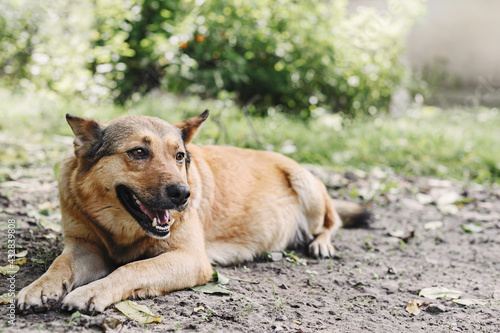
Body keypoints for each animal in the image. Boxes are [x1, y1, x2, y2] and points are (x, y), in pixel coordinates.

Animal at [16, 111, 368, 312]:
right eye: (138, 152)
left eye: (180, 156)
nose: (183, 194)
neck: (121, 230)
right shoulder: (84, 247)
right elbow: (59, 265)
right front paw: (39, 288)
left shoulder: (190, 258)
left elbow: (132, 269)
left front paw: (92, 291)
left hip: (307, 187)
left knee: (332, 221)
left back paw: (321, 243)